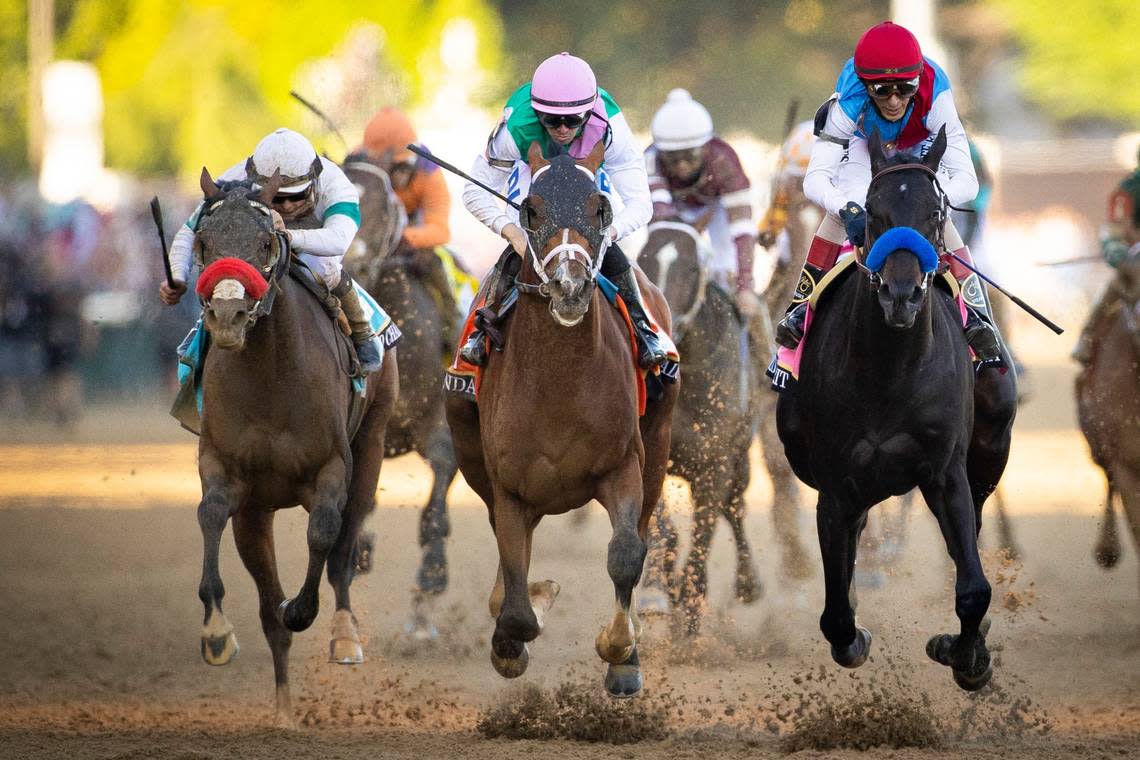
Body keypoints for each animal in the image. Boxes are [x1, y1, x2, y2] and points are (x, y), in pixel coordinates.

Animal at [190, 169, 396, 729]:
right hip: (257, 512)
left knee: (343, 549)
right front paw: (216, 631)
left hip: (372, 445)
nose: (228, 315)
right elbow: (210, 513)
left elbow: (325, 533)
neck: (269, 376)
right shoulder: (227, 471)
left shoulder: (331, 468)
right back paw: (283, 708)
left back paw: (343, 636)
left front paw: (304, 611)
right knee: (267, 605)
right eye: (202, 242)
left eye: (265, 242)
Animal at [444, 142, 674, 701]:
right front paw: (514, 637)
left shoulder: (623, 467)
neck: (560, 383)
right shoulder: (509, 487)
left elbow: (627, 554)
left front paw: (620, 653)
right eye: (530, 209)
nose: (570, 287)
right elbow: (516, 601)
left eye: (600, 207)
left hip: (658, 448)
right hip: (471, 452)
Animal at [638, 216, 761, 633]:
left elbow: (703, 541)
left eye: (692, 268)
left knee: (736, 508)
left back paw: (748, 584)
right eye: (642, 259)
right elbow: (665, 531)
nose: (661, 329)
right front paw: (657, 591)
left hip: (741, 459)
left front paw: (689, 614)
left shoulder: (716, 465)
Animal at [779, 127, 1021, 692]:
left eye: (934, 214)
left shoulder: (945, 472)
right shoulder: (837, 487)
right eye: (872, 211)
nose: (902, 296)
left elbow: (974, 588)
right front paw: (858, 637)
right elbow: (837, 615)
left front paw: (965, 655)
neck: (889, 373)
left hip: (988, 449)